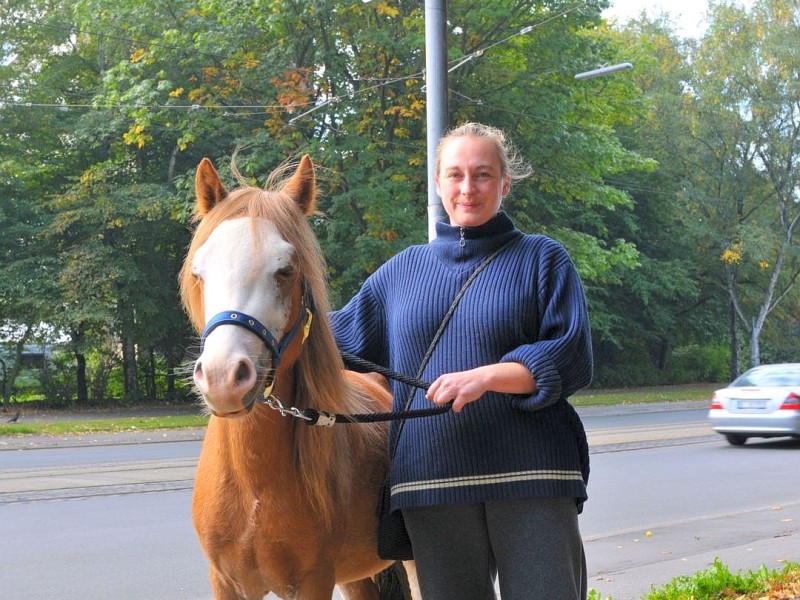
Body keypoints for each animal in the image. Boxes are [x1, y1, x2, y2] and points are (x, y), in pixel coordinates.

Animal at [180, 156, 418, 600]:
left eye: (286, 271)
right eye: (199, 272)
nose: (223, 378)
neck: (252, 485)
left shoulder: (311, 582)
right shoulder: (226, 583)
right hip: (357, 577)